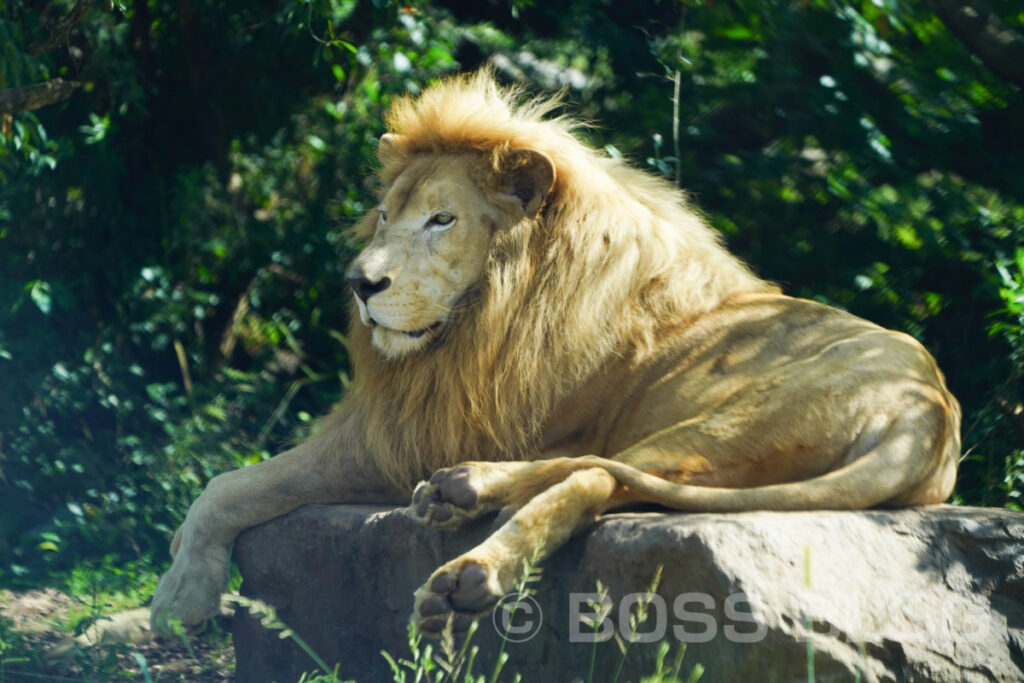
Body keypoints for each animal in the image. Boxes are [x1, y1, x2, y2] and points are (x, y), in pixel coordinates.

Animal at [149, 68, 958, 634]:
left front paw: (180, 592)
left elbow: (231, 484)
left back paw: (467, 566)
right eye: (383, 213)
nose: (360, 283)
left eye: (442, 219)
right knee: (610, 477)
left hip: (733, 419)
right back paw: (459, 494)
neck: (488, 310)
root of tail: (924, 418)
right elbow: (236, 481)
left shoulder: (402, 438)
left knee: (594, 477)